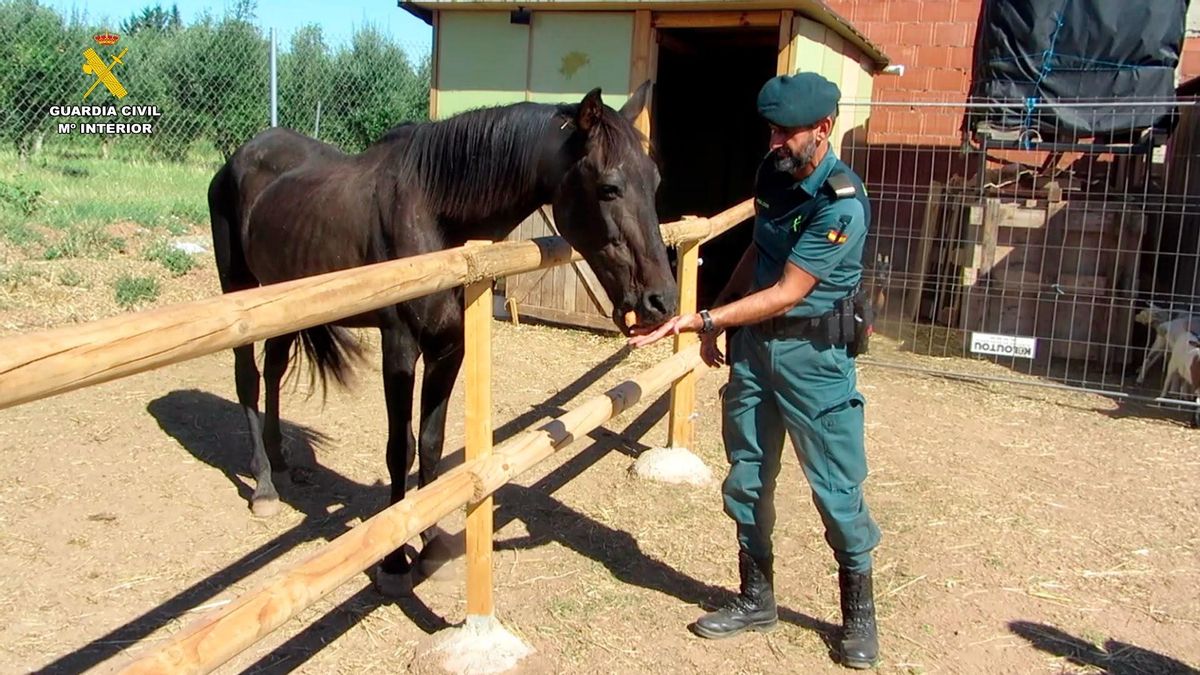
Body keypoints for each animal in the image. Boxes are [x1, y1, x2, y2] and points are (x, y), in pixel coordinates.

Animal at [207, 81, 678, 594]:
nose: (662, 302)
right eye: (609, 187)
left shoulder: (450, 348)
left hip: (281, 301)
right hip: (240, 291)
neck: (432, 213)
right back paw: (263, 485)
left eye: (656, 183)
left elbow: (431, 443)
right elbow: (401, 447)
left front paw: (431, 544)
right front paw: (394, 558)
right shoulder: (399, 348)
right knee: (248, 379)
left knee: (273, 371)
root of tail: (241, 155)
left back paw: (281, 461)